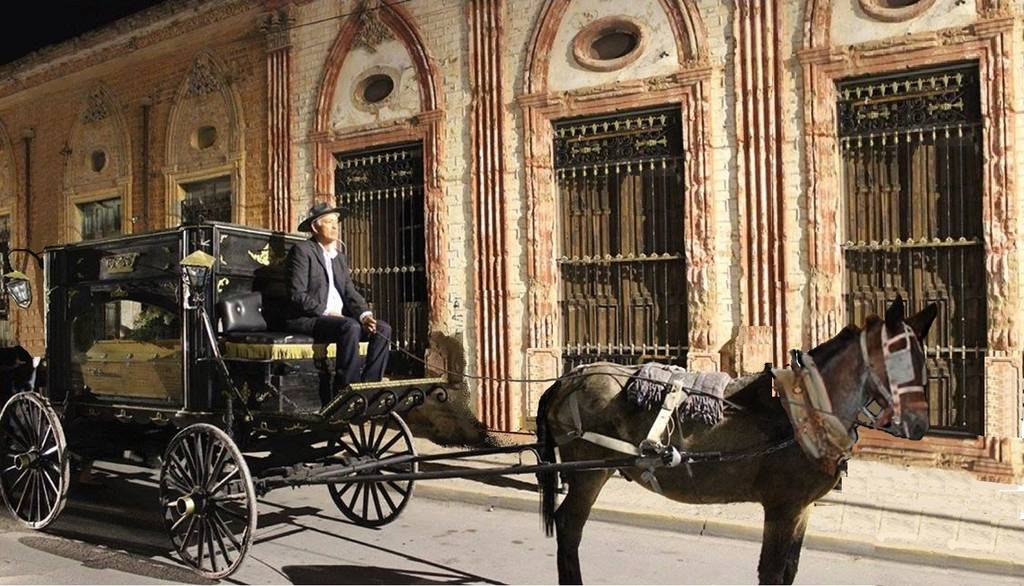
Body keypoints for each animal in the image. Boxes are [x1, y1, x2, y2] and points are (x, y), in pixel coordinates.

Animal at [535, 299, 938, 584]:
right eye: (899, 361)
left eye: (923, 361)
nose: (919, 425)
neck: (807, 409)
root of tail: (568, 379)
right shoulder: (781, 506)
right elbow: (772, 572)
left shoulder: (802, 506)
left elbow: (789, 570)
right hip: (588, 472)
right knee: (569, 527)